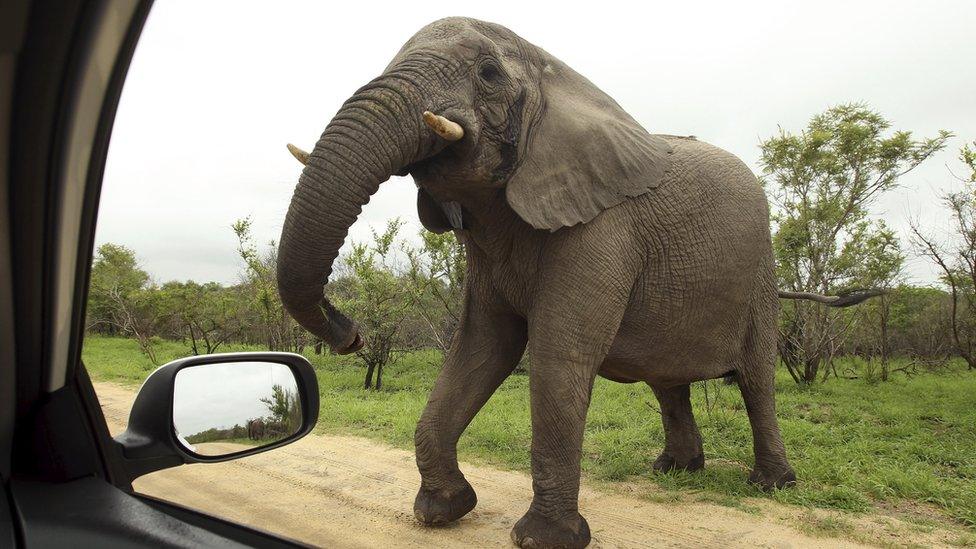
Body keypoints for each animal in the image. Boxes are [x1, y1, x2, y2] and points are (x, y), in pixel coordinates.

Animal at [277, 17, 879, 548]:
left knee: (756, 380)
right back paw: (674, 471)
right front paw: (443, 511)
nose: (351, 333)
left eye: (489, 73)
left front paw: (543, 540)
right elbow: (482, 347)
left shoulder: (603, 228)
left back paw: (771, 484)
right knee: (669, 381)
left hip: (758, 275)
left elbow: (557, 353)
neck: (555, 74)